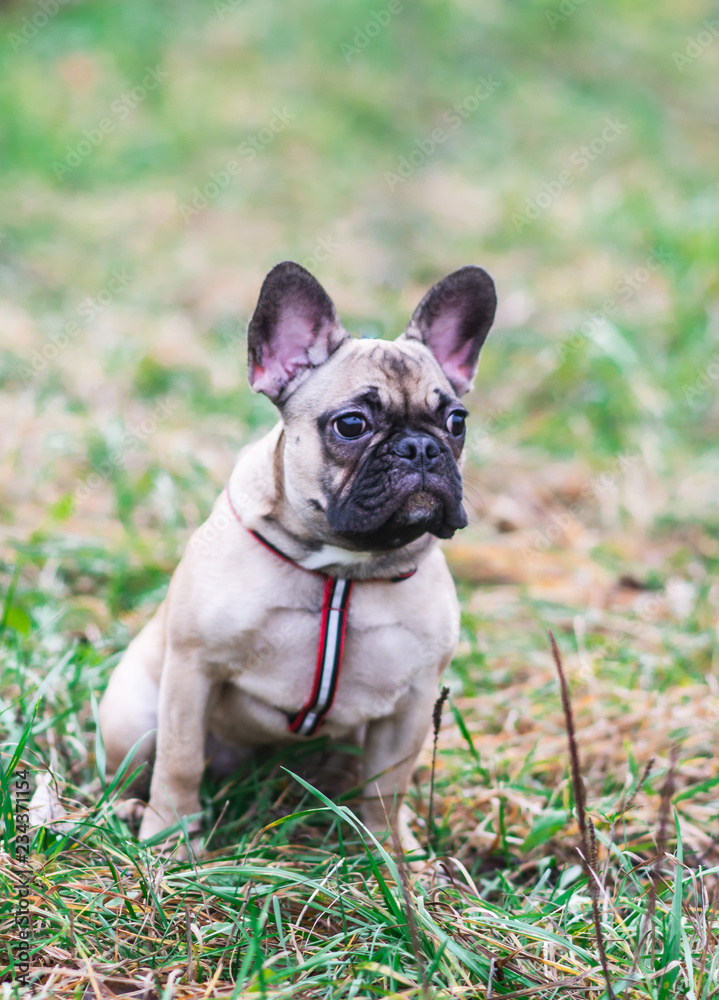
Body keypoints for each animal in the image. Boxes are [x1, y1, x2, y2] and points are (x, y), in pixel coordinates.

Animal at [98, 262, 498, 856]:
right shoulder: (193, 670)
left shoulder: (413, 699)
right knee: (136, 765)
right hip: (132, 714)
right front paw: (170, 841)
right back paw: (126, 809)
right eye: (351, 424)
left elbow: (390, 785)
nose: (421, 449)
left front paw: (393, 855)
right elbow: (180, 761)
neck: (344, 566)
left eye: (456, 422)